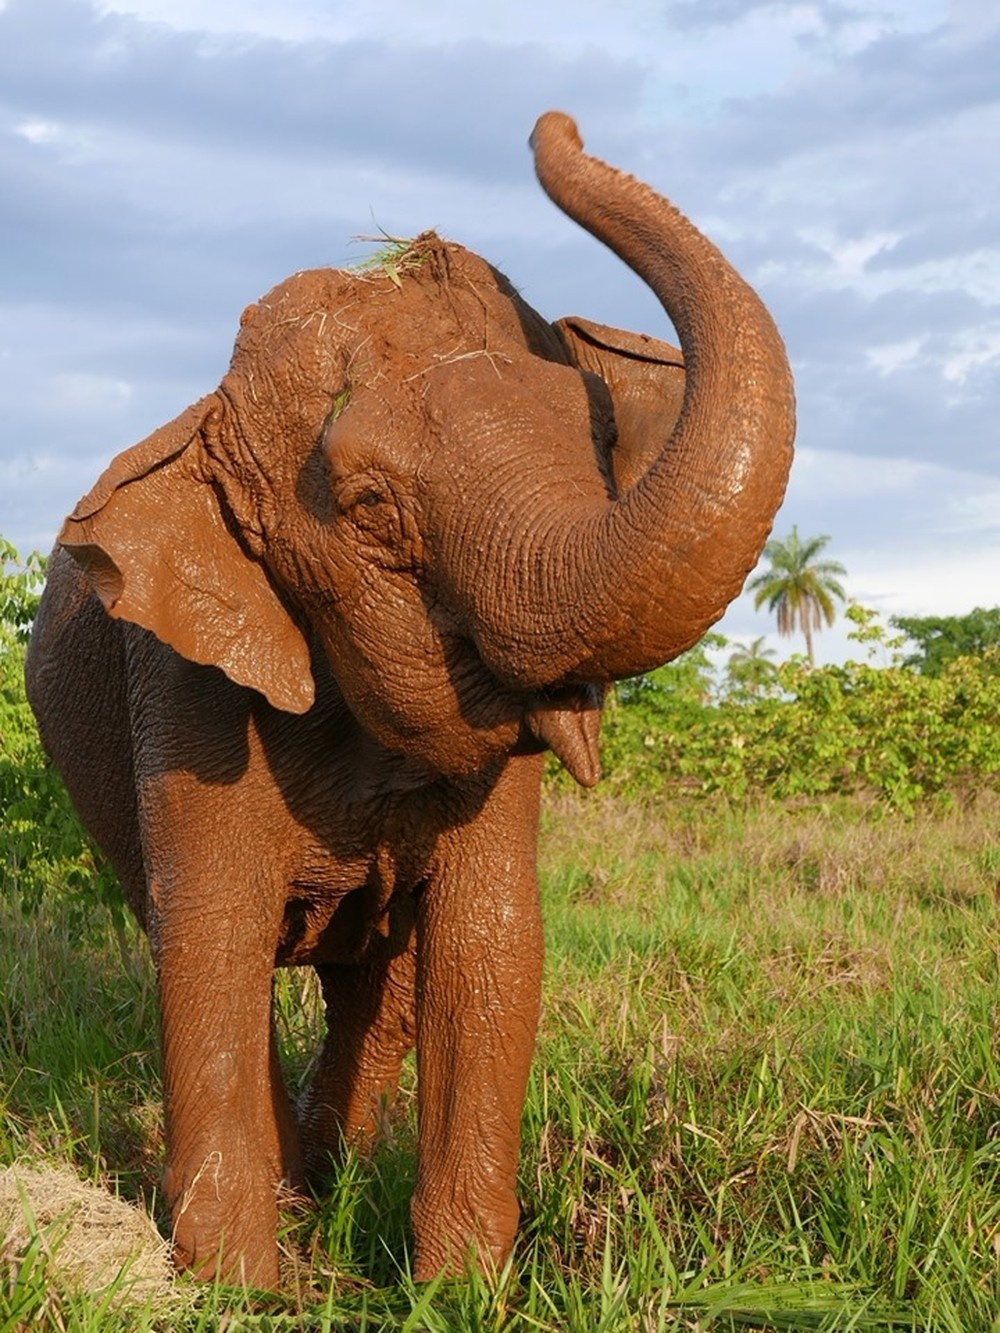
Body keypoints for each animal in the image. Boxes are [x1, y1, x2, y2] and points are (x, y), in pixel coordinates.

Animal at [25, 112, 794, 1286]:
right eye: (370, 509)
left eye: (601, 446)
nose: (554, 123)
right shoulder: (181, 677)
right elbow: (212, 936)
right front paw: (240, 1290)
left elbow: (489, 939)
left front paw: (459, 1291)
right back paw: (299, 1202)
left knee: (374, 986)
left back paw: (332, 1177)